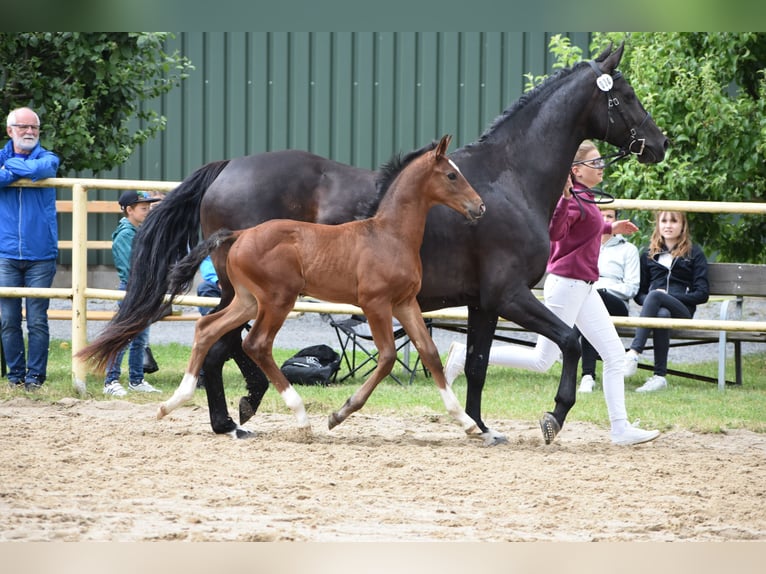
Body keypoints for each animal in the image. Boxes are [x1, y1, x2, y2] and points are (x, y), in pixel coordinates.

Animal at [155, 134, 486, 434]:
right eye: (452, 175)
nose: (479, 206)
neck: (389, 235)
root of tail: (240, 234)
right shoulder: (375, 303)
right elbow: (388, 356)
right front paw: (339, 414)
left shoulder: (404, 303)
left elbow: (429, 353)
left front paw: (467, 422)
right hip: (278, 299)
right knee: (256, 343)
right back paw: (300, 417)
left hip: (248, 300)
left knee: (206, 328)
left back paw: (173, 403)